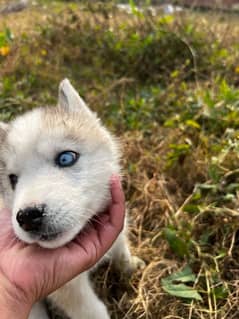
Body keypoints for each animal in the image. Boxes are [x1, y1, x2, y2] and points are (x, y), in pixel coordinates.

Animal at [0, 80, 142, 319]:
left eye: (66, 158)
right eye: (13, 179)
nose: (28, 216)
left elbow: (121, 248)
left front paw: (130, 266)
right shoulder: (70, 289)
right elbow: (93, 311)